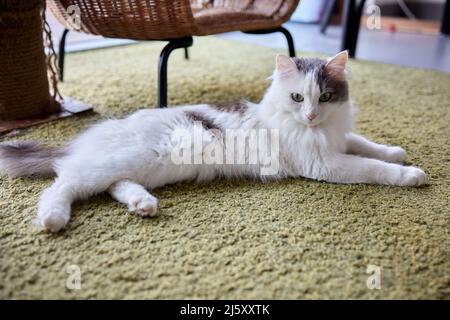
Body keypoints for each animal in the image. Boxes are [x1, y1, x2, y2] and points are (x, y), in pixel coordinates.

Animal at [0, 52, 428, 232]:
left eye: (324, 97)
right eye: (297, 98)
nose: (309, 116)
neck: (315, 130)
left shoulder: (339, 139)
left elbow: (367, 144)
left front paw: (398, 151)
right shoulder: (325, 163)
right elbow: (373, 168)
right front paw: (411, 175)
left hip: (143, 168)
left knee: (113, 186)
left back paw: (144, 205)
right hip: (122, 161)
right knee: (64, 183)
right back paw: (54, 218)